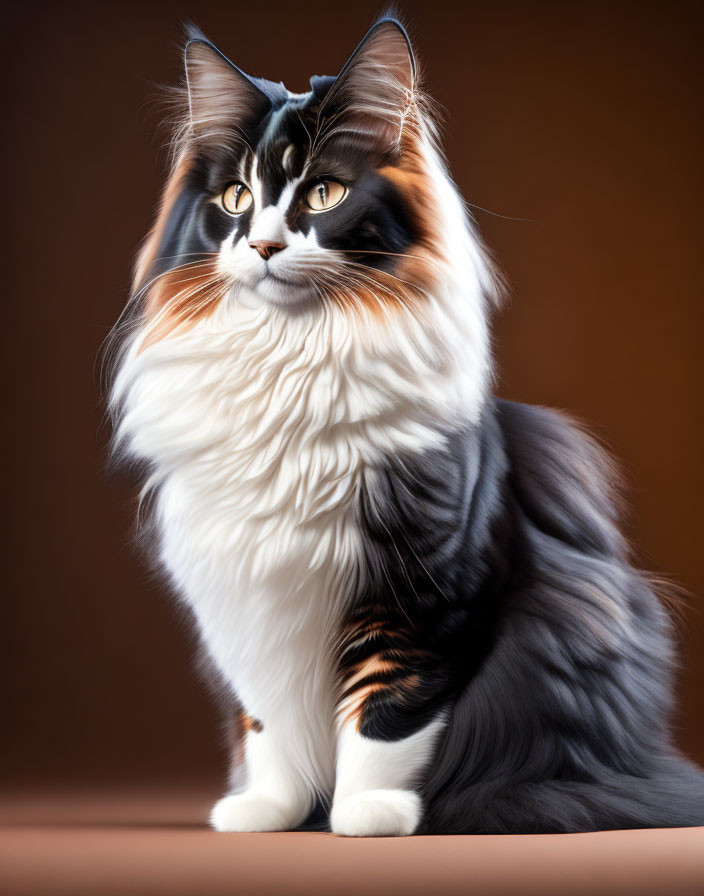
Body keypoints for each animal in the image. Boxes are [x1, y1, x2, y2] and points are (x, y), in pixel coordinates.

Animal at [106, 17, 704, 836]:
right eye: (235, 197)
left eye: (324, 192)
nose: (262, 246)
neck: (291, 359)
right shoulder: (246, 597)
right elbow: (267, 720)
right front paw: (270, 810)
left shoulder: (422, 591)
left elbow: (384, 712)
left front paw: (368, 813)